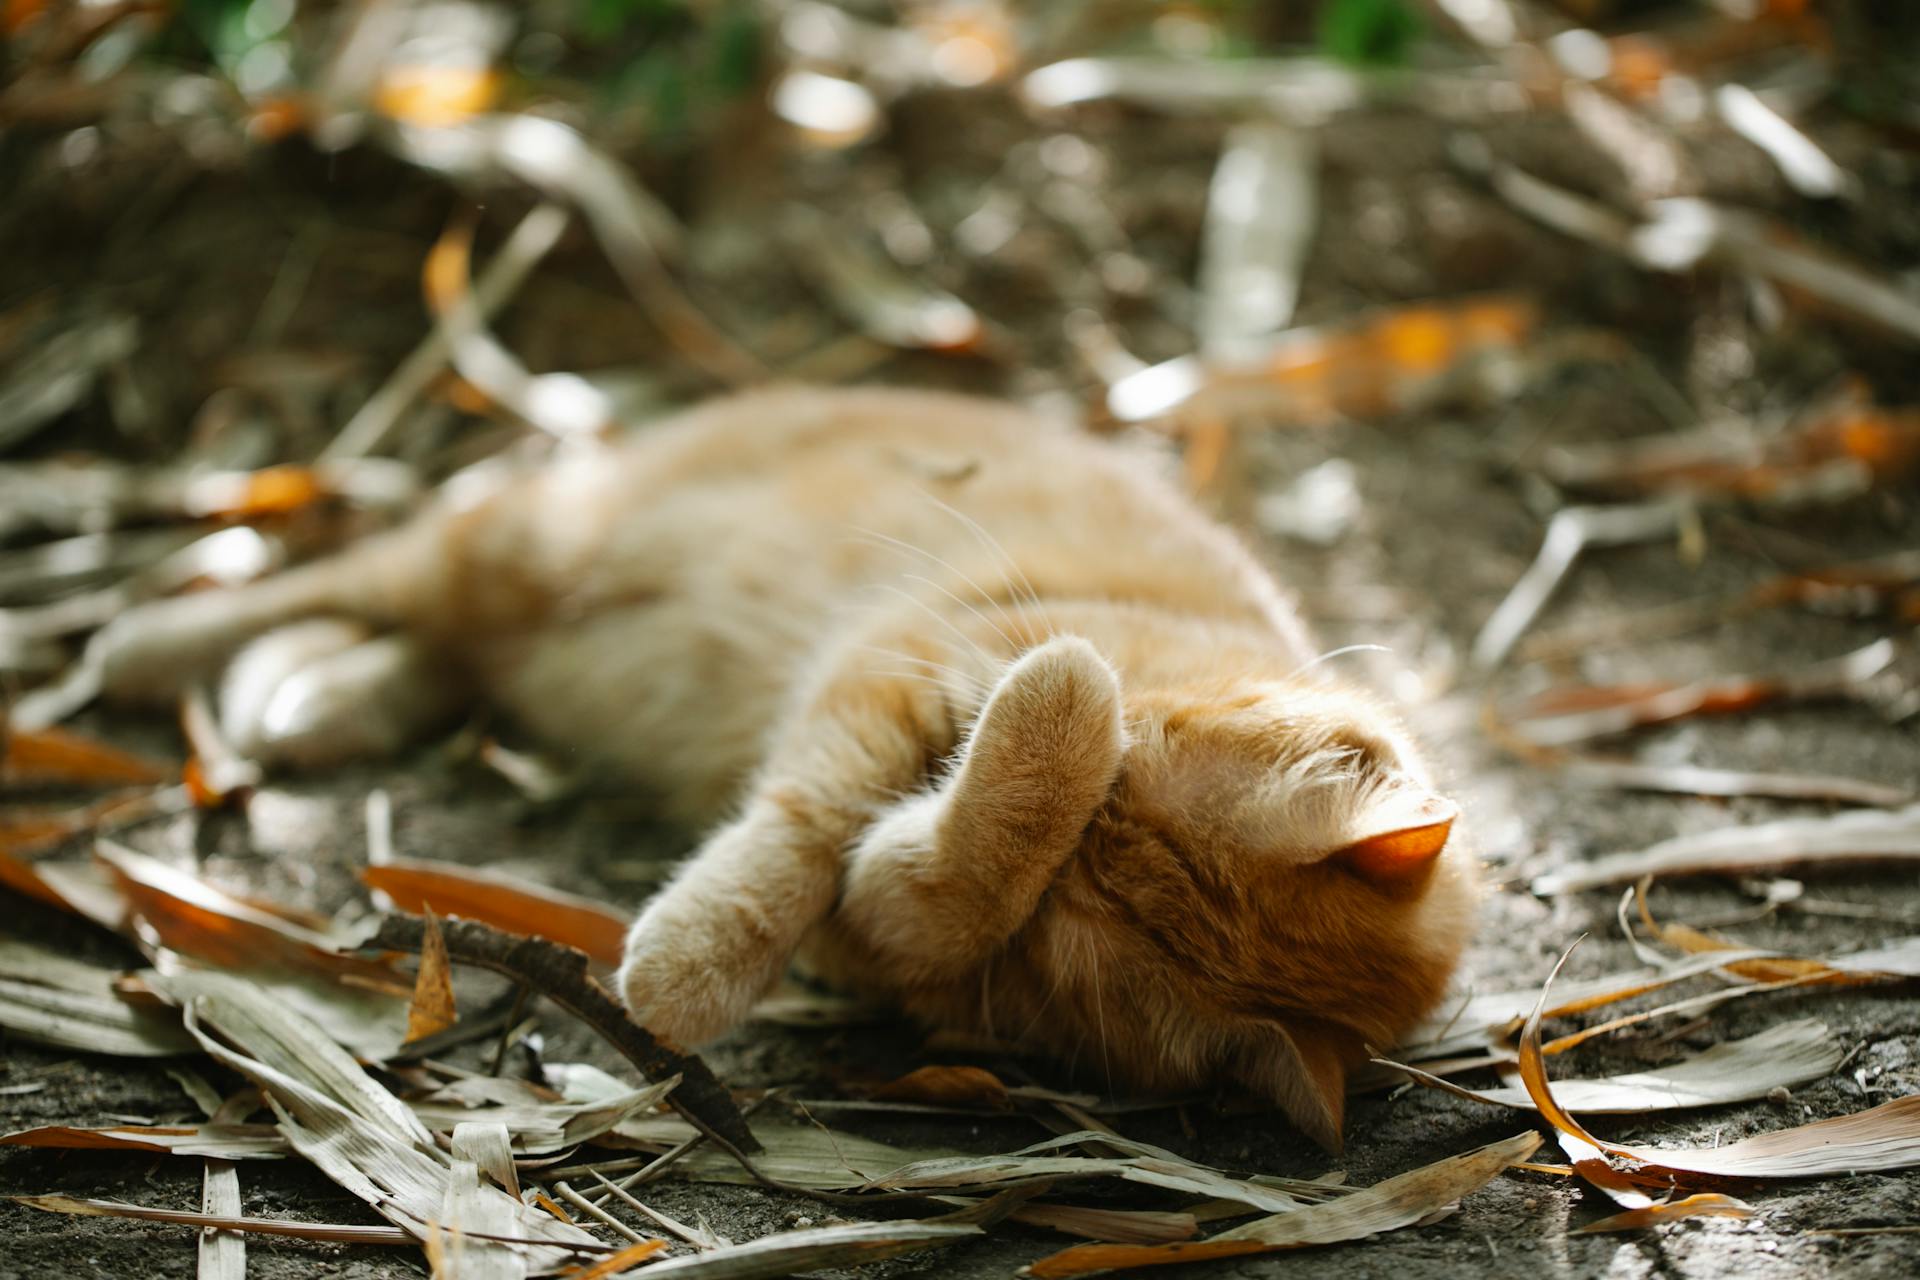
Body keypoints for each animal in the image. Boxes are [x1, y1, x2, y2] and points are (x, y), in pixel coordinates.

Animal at [82, 387, 1474, 1151]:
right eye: (1107, 812)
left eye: (1067, 927)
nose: (979, 757)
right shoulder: (895, 669)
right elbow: (824, 815)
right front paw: (687, 967)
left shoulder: (899, 933)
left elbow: (912, 880)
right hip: (516, 544)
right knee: (345, 577)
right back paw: (159, 645)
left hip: (515, 616)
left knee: (436, 656)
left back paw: (305, 694)